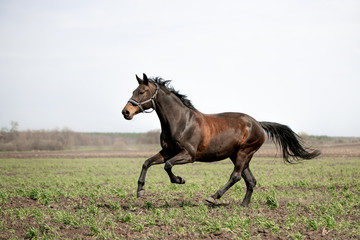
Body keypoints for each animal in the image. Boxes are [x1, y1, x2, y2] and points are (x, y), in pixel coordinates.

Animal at [122, 73, 320, 206]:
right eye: (134, 90)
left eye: (142, 91)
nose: (126, 112)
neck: (181, 121)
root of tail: (258, 124)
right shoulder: (167, 151)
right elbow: (147, 163)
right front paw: (140, 191)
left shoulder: (189, 154)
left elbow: (168, 166)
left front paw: (179, 180)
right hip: (238, 155)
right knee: (250, 180)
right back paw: (244, 205)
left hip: (244, 153)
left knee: (236, 176)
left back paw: (213, 197)